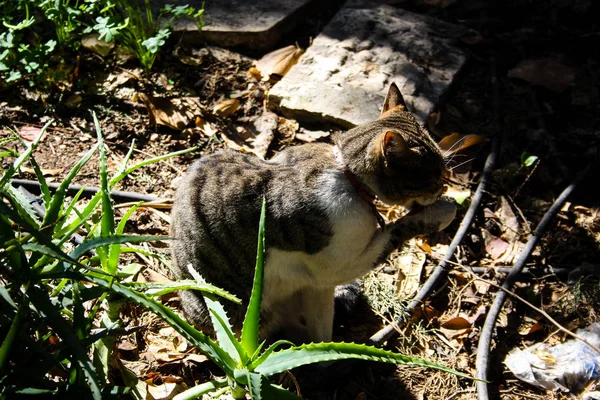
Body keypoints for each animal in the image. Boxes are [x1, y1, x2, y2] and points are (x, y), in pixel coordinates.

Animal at [169, 83, 454, 342]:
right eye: (435, 177)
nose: (444, 186)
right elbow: (395, 231)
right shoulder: (335, 265)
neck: (346, 173)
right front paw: (443, 211)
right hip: (241, 310)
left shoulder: (321, 281)